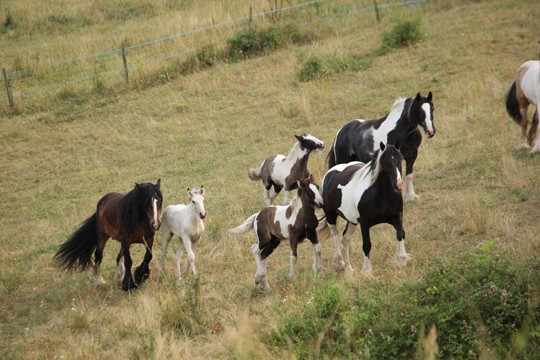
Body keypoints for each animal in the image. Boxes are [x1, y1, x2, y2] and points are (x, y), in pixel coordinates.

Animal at [320, 143, 410, 272]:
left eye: (400, 159)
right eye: (385, 162)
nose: (398, 184)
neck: (381, 196)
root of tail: (330, 173)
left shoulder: (397, 217)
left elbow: (400, 234)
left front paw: (401, 260)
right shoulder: (365, 223)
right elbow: (367, 245)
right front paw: (367, 270)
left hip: (352, 221)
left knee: (345, 237)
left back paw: (349, 268)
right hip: (330, 215)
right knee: (335, 235)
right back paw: (339, 263)